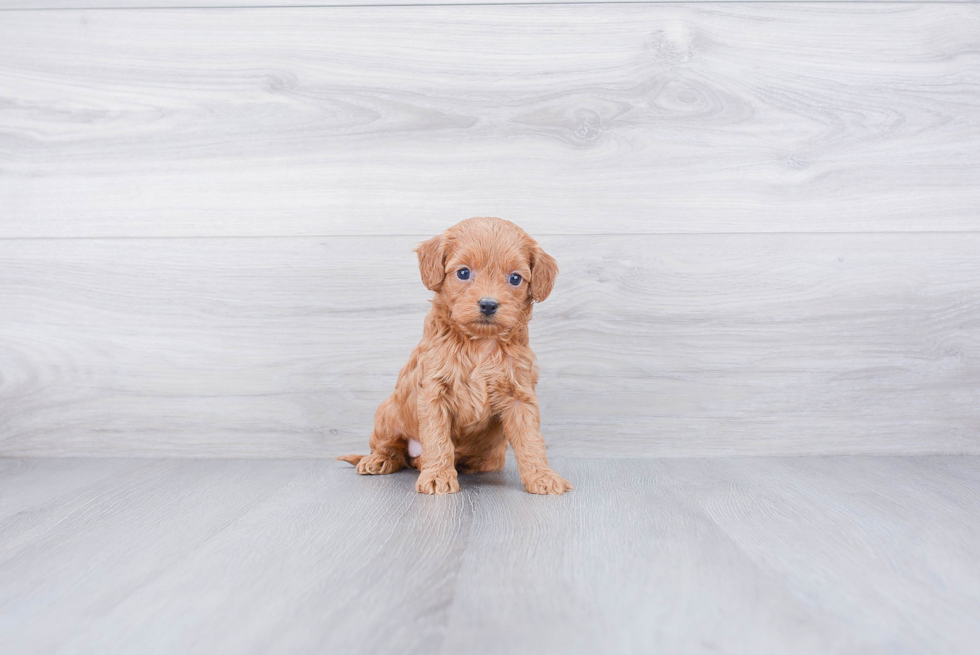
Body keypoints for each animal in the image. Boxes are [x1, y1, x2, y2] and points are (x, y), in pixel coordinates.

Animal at [340, 218, 576, 494]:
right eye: (463, 273)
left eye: (515, 278)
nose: (488, 304)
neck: (479, 343)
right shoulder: (434, 392)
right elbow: (437, 438)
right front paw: (437, 476)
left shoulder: (519, 394)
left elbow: (530, 439)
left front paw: (542, 476)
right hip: (387, 412)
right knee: (389, 447)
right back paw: (378, 460)